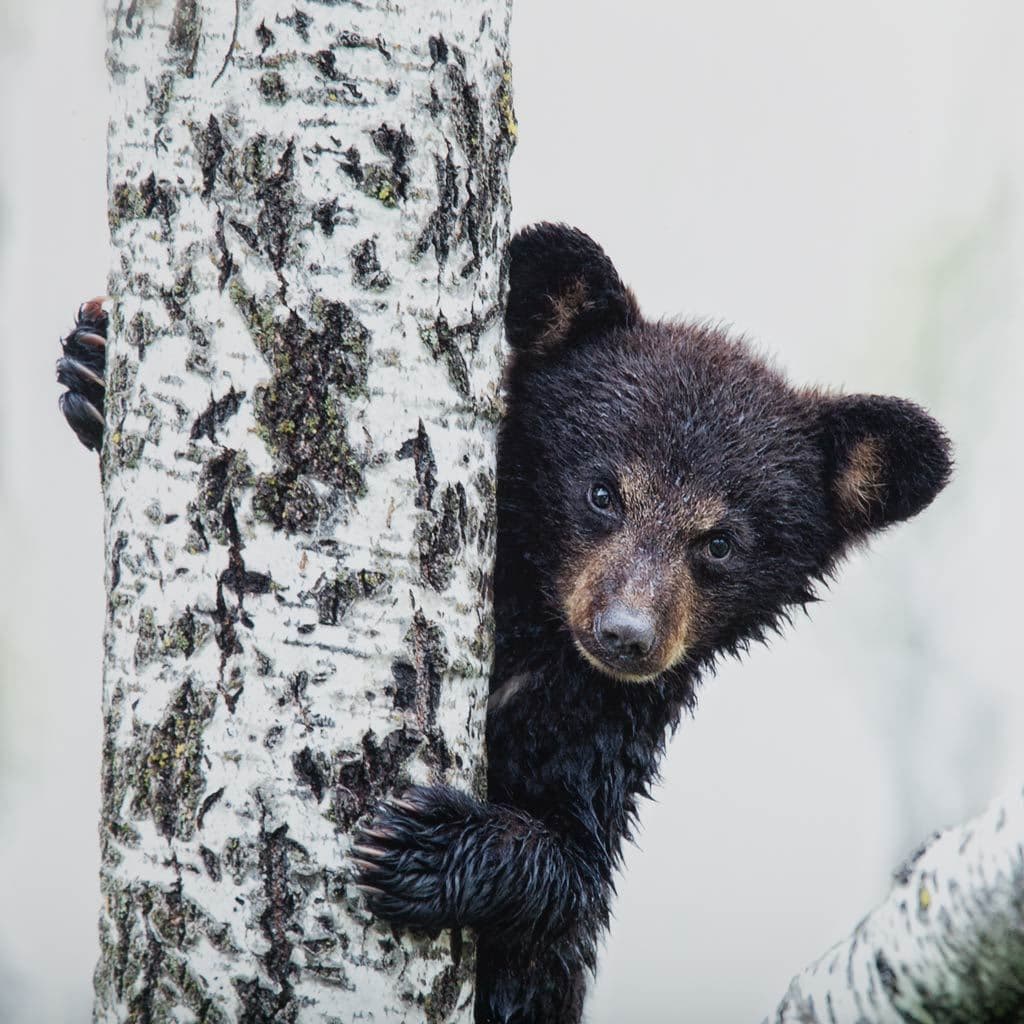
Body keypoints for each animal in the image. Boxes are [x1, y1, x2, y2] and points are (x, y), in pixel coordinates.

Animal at [57, 224, 952, 1024]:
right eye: (603, 491)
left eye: (721, 542)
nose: (626, 634)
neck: (532, 639)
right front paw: (92, 363)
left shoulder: (598, 729)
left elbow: (573, 877)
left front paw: (425, 845)